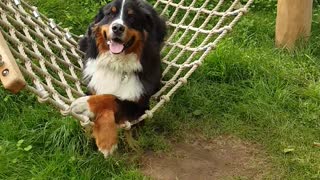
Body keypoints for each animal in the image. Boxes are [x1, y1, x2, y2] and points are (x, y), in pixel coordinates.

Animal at [69, 0, 165, 158]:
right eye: (110, 13)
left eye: (132, 17)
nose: (118, 27)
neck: (117, 64)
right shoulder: (93, 87)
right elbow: (104, 97)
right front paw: (103, 136)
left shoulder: (140, 106)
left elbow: (112, 98)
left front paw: (106, 140)